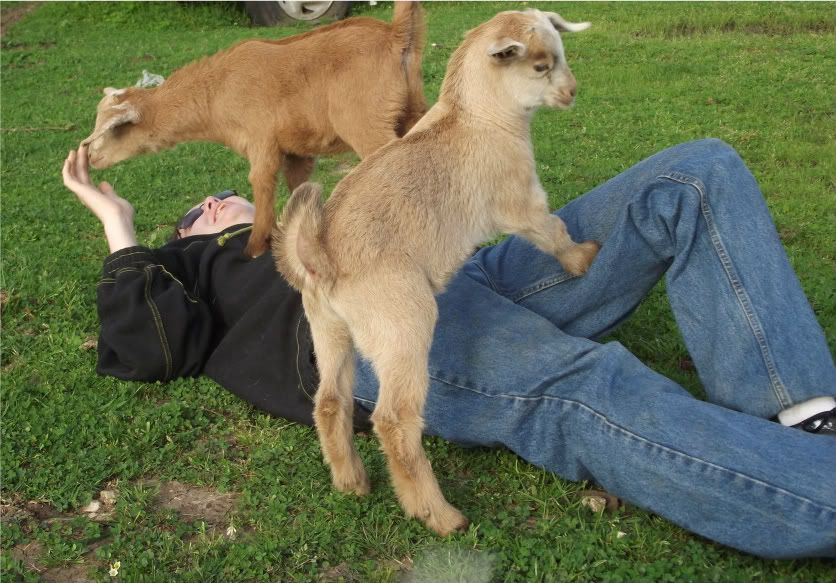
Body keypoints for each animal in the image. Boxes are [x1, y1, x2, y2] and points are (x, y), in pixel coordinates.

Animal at [82, 2, 426, 256]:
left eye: (115, 129)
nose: (90, 158)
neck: (216, 93)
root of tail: (394, 36)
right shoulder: (296, 151)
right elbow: (298, 187)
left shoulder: (261, 140)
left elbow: (261, 184)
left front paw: (255, 248)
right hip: (412, 111)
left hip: (367, 123)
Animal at [273, 9, 599, 535]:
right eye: (540, 66)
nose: (572, 92)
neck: (475, 116)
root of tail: (322, 251)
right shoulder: (521, 202)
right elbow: (553, 230)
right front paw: (583, 258)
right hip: (405, 328)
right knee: (394, 421)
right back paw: (438, 514)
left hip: (330, 330)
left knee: (329, 402)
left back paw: (351, 480)